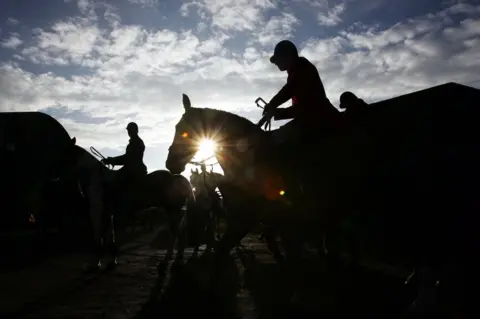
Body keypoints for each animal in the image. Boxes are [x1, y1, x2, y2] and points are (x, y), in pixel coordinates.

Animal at [166, 83, 480, 316]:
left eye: (182, 129)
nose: (170, 164)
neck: (254, 161)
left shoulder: (262, 221)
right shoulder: (262, 222)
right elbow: (230, 250)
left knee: (428, 240)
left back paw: (423, 294)